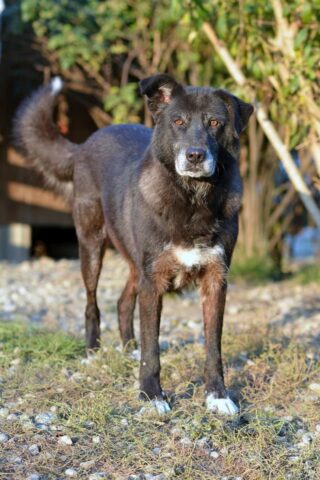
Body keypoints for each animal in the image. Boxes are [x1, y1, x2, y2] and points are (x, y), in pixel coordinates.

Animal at [13, 75, 254, 416]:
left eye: (215, 123)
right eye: (178, 121)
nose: (194, 156)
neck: (193, 198)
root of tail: (85, 144)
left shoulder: (215, 279)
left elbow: (213, 346)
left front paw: (217, 396)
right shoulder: (153, 281)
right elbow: (152, 348)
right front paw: (152, 396)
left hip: (134, 263)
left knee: (123, 301)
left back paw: (129, 349)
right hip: (92, 245)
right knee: (92, 303)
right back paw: (93, 352)